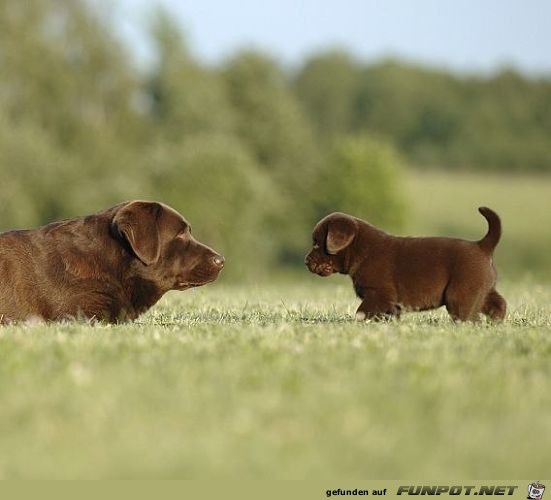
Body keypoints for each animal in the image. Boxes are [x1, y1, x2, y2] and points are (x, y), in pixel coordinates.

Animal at [306, 208, 508, 322]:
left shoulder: (378, 294)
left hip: (461, 293)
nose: (306, 261)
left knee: (470, 317)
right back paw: (496, 324)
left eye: (316, 243)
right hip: (483, 290)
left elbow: (361, 312)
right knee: (498, 305)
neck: (362, 251)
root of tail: (481, 245)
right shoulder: (390, 304)